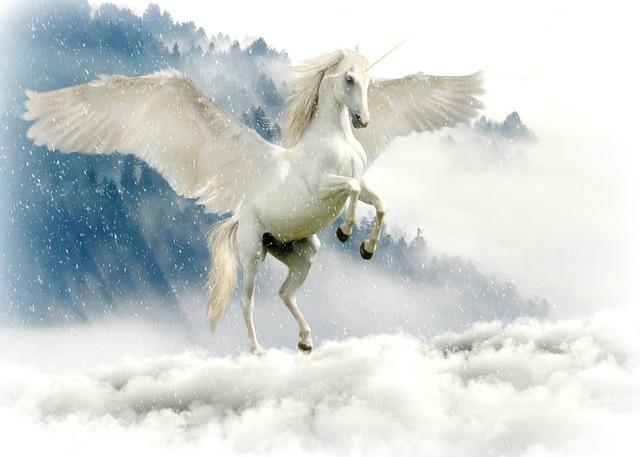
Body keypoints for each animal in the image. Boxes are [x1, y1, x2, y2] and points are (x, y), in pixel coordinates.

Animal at [23, 47, 483, 354]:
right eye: (349, 80)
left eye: (371, 82)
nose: (363, 120)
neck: (331, 139)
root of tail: (240, 220)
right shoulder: (325, 186)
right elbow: (353, 191)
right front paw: (347, 229)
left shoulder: (358, 180)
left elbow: (379, 200)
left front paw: (366, 247)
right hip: (253, 253)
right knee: (246, 302)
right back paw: (258, 351)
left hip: (300, 252)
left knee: (284, 294)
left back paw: (306, 341)